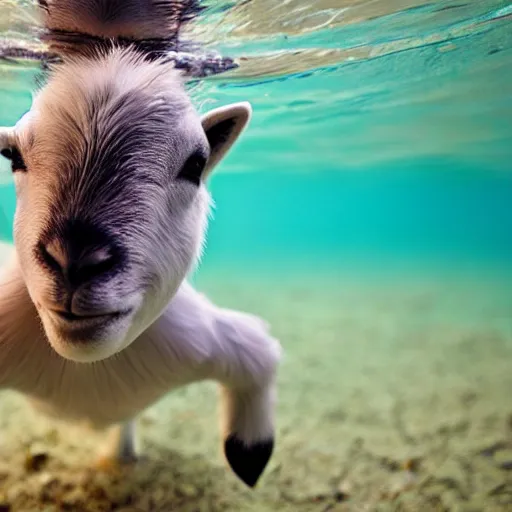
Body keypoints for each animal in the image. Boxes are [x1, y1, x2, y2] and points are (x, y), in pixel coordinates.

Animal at [0, 0, 280, 488]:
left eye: (196, 163)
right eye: (13, 155)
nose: (75, 261)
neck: (87, 369)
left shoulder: (198, 338)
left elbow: (259, 352)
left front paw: (249, 456)